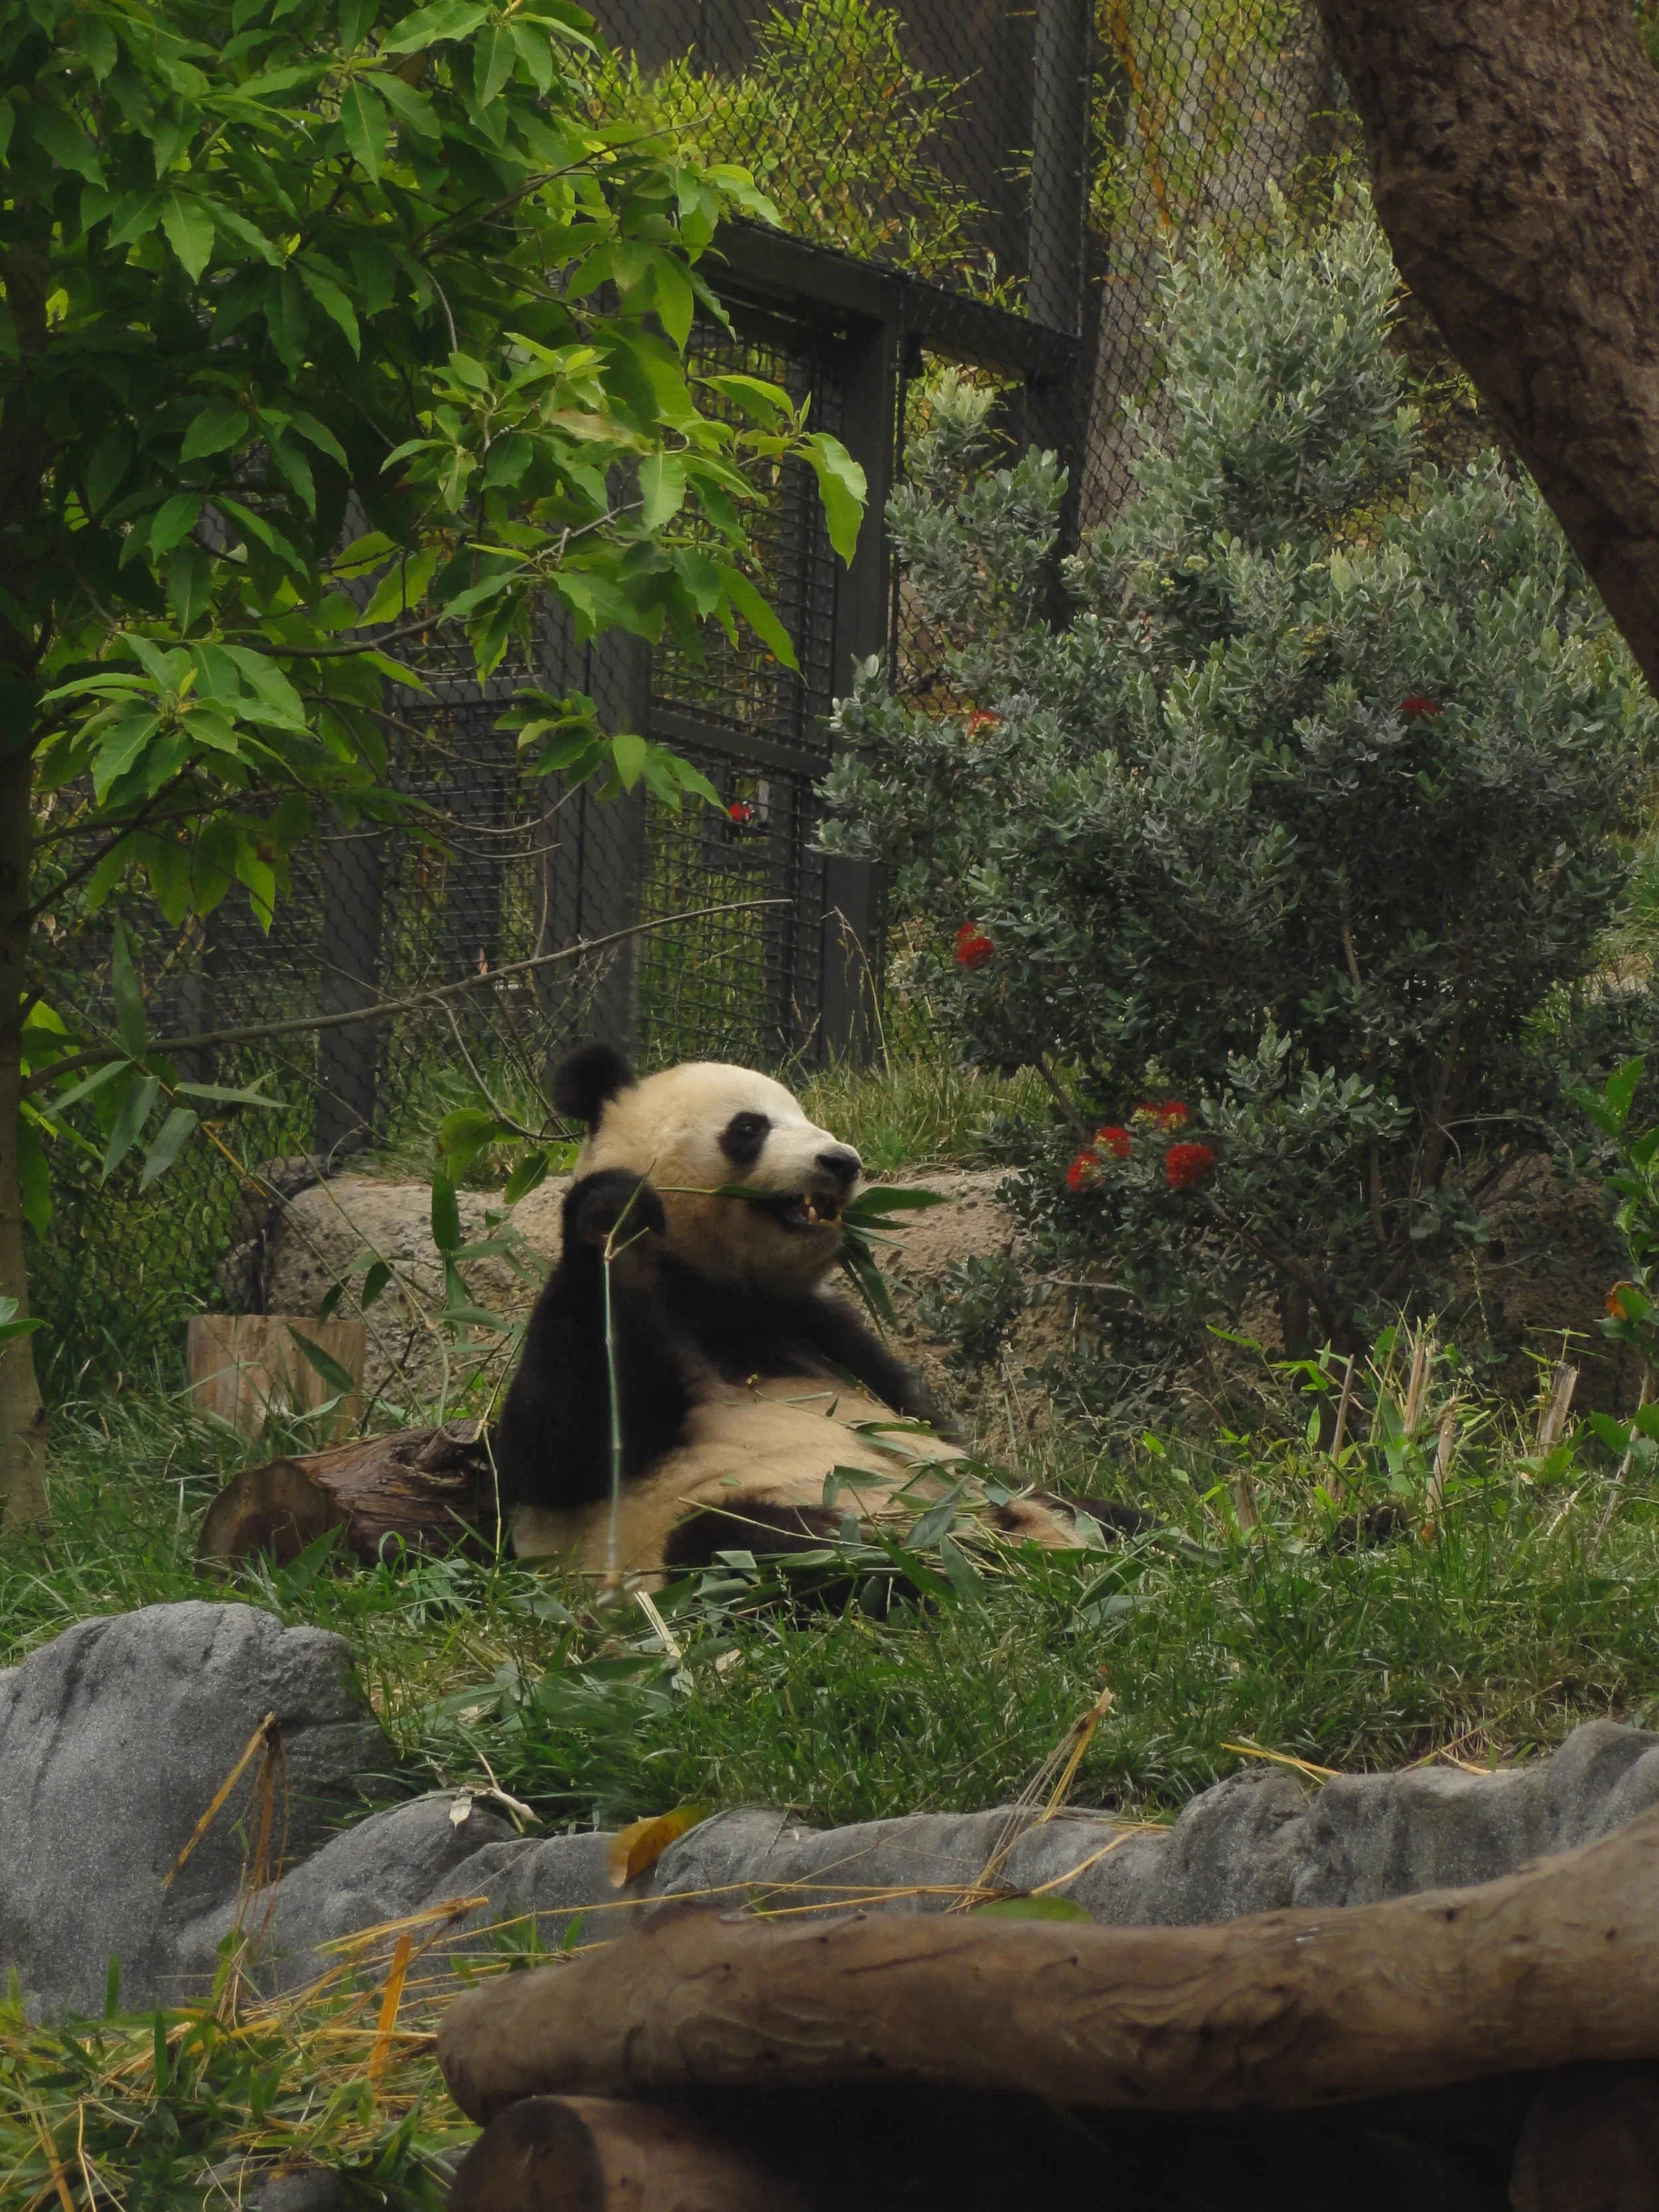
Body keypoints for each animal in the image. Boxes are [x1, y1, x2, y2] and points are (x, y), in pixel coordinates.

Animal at [492, 1043, 1113, 1580]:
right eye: (750, 1127)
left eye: (808, 1115)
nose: (842, 1161)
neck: (715, 1290)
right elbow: (558, 1445)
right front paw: (612, 1216)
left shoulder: (822, 1330)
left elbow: (927, 1421)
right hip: (711, 1524)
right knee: (755, 1544)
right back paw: (945, 1560)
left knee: (1091, 1509)